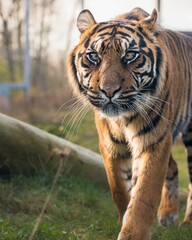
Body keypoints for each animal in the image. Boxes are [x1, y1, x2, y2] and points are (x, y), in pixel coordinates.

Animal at [67, 7, 192, 240]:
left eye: (130, 56)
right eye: (94, 56)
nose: (108, 90)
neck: (123, 120)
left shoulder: (154, 142)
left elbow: (144, 194)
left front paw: (133, 233)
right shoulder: (110, 146)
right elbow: (119, 188)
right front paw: (123, 218)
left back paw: (187, 221)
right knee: (173, 166)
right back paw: (168, 213)